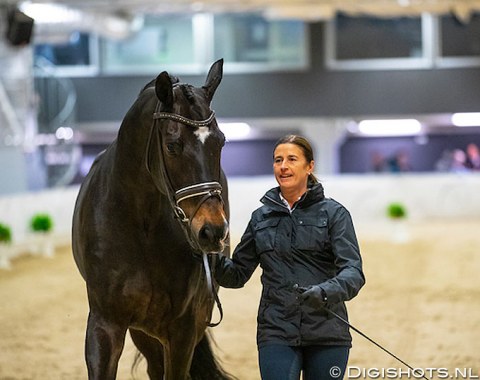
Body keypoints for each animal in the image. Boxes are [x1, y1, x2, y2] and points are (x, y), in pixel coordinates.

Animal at [71, 59, 234, 380]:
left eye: (220, 142)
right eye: (172, 145)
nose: (212, 231)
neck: (141, 226)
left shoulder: (183, 329)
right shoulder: (105, 324)